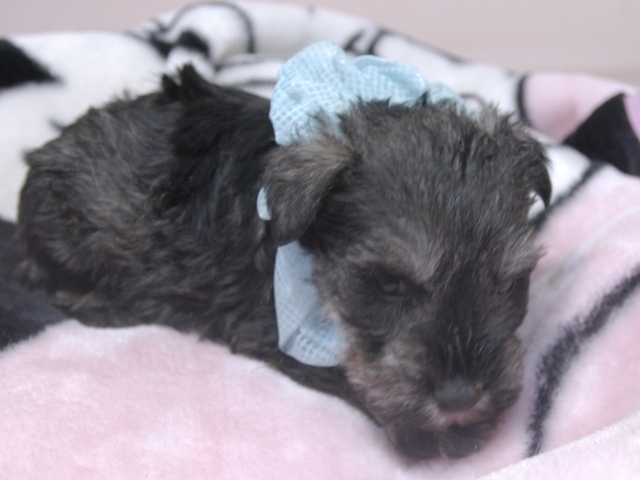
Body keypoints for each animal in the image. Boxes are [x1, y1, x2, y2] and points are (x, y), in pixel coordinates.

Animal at [17, 65, 550, 459]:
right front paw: (434, 433)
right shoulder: (272, 330)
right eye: (388, 285)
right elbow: (346, 371)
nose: (462, 397)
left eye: (508, 284)